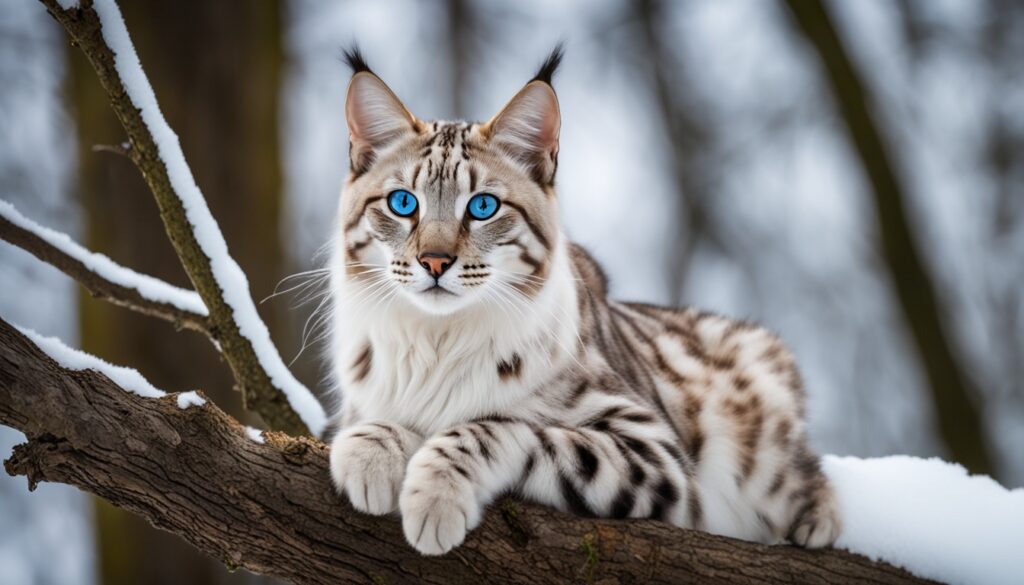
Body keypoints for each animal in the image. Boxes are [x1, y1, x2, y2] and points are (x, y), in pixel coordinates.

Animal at [327, 48, 839, 557]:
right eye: (402, 203)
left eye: (482, 207)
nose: (435, 262)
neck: (437, 337)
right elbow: (385, 421)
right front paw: (370, 450)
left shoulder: (658, 452)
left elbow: (498, 427)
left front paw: (436, 493)